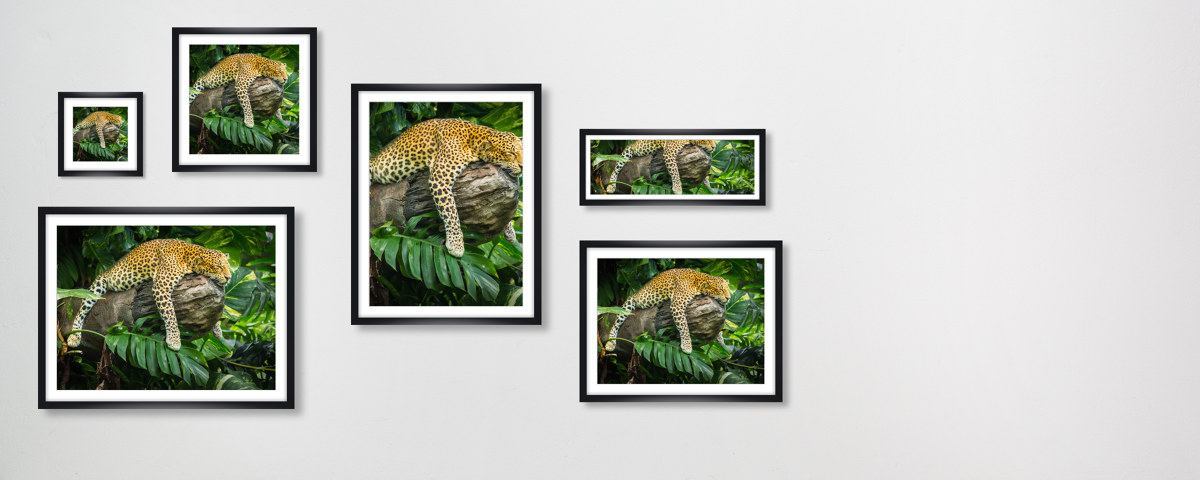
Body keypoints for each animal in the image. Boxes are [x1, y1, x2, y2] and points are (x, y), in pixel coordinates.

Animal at [65, 239, 232, 352]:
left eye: (228, 266)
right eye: (218, 267)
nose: (229, 277)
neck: (189, 256)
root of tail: (107, 269)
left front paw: (217, 330)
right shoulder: (161, 287)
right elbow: (170, 314)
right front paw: (174, 340)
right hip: (96, 287)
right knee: (81, 311)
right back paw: (74, 337)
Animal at [369, 117, 523, 258]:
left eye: (523, 151)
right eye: (511, 154)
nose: (523, 165)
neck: (473, 140)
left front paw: (510, 231)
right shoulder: (440, 178)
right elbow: (451, 211)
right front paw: (456, 244)